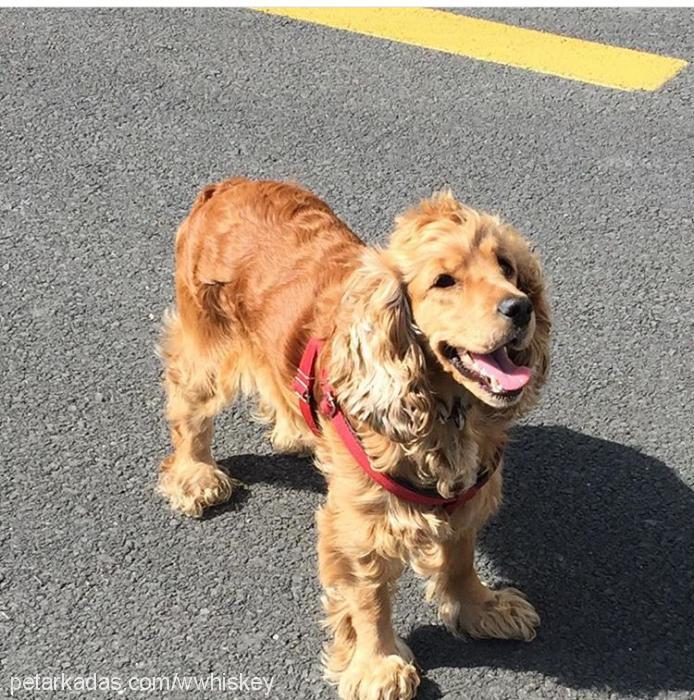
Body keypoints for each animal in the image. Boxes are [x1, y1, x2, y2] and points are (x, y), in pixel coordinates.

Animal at [160, 179, 552, 700]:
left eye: (507, 267)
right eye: (444, 281)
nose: (520, 307)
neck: (445, 412)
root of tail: (224, 185)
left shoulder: (469, 491)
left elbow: (460, 555)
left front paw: (481, 608)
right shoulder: (361, 521)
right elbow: (369, 597)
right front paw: (378, 666)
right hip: (205, 342)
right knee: (188, 408)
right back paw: (195, 475)